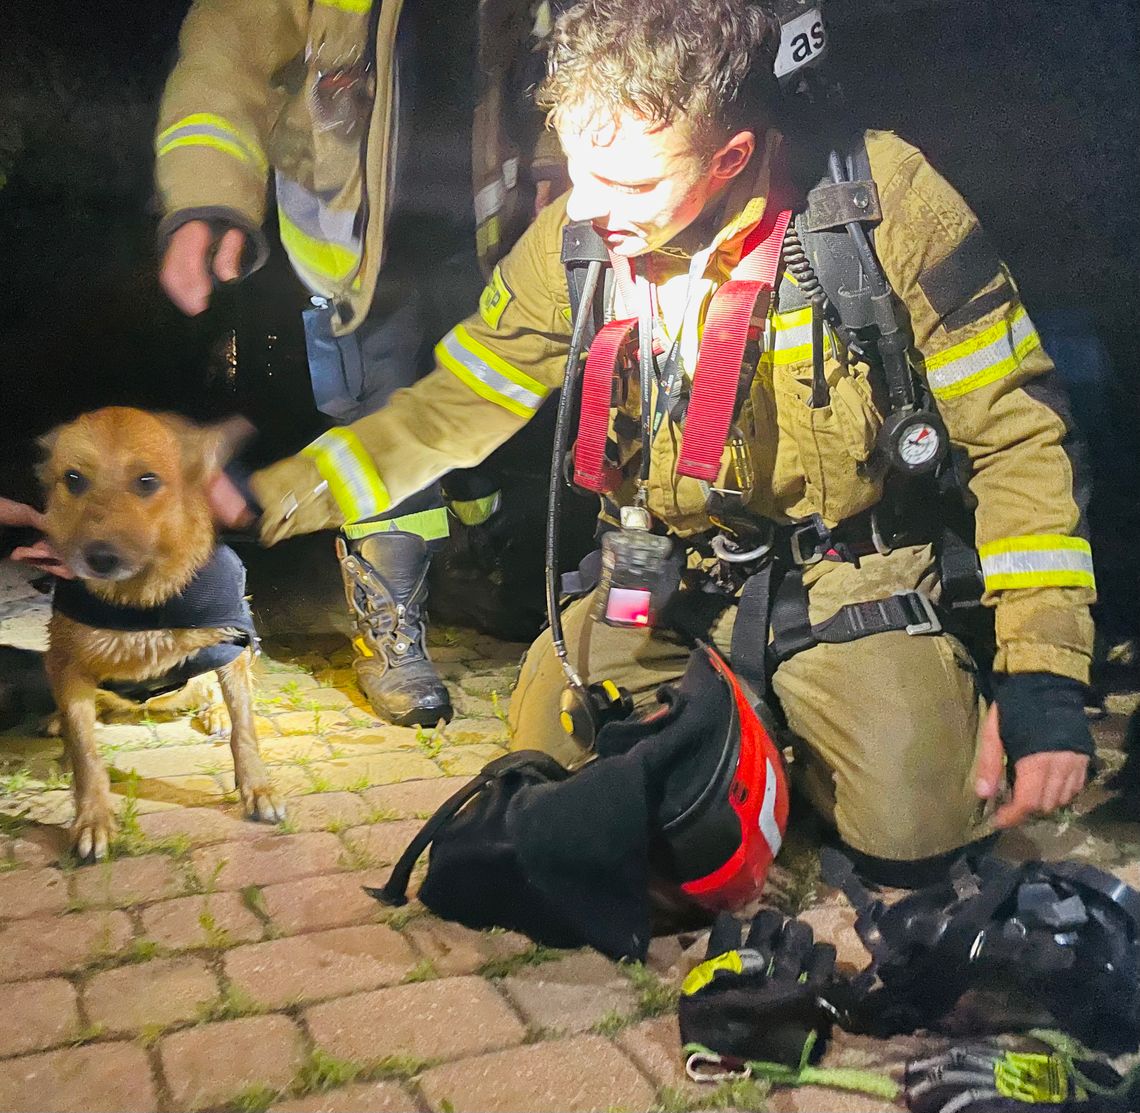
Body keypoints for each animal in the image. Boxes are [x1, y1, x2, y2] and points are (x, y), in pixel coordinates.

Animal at [40, 408, 282, 862]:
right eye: (73, 479)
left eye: (147, 481)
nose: (99, 558)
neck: (140, 598)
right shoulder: (66, 662)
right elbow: (86, 755)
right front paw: (93, 818)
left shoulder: (233, 646)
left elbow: (245, 731)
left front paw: (257, 788)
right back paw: (57, 721)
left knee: (213, 694)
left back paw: (214, 712)